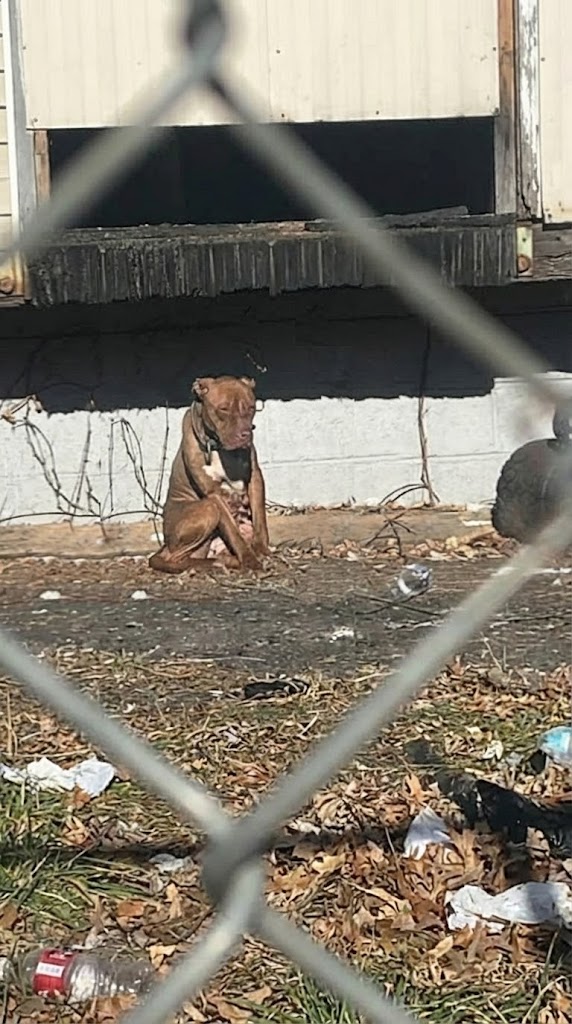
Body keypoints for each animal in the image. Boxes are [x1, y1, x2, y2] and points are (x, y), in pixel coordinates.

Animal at [149, 375, 270, 573]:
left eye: (252, 408)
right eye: (223, 409)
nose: (245, 434)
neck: (219, 448)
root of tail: (165, 544)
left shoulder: (255, 478)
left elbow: (260, 520)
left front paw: (261, 550)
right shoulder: (213, 495)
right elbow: (233, 533)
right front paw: (249, 560)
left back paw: (225, 560)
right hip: (208, 509)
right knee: (175, 559)